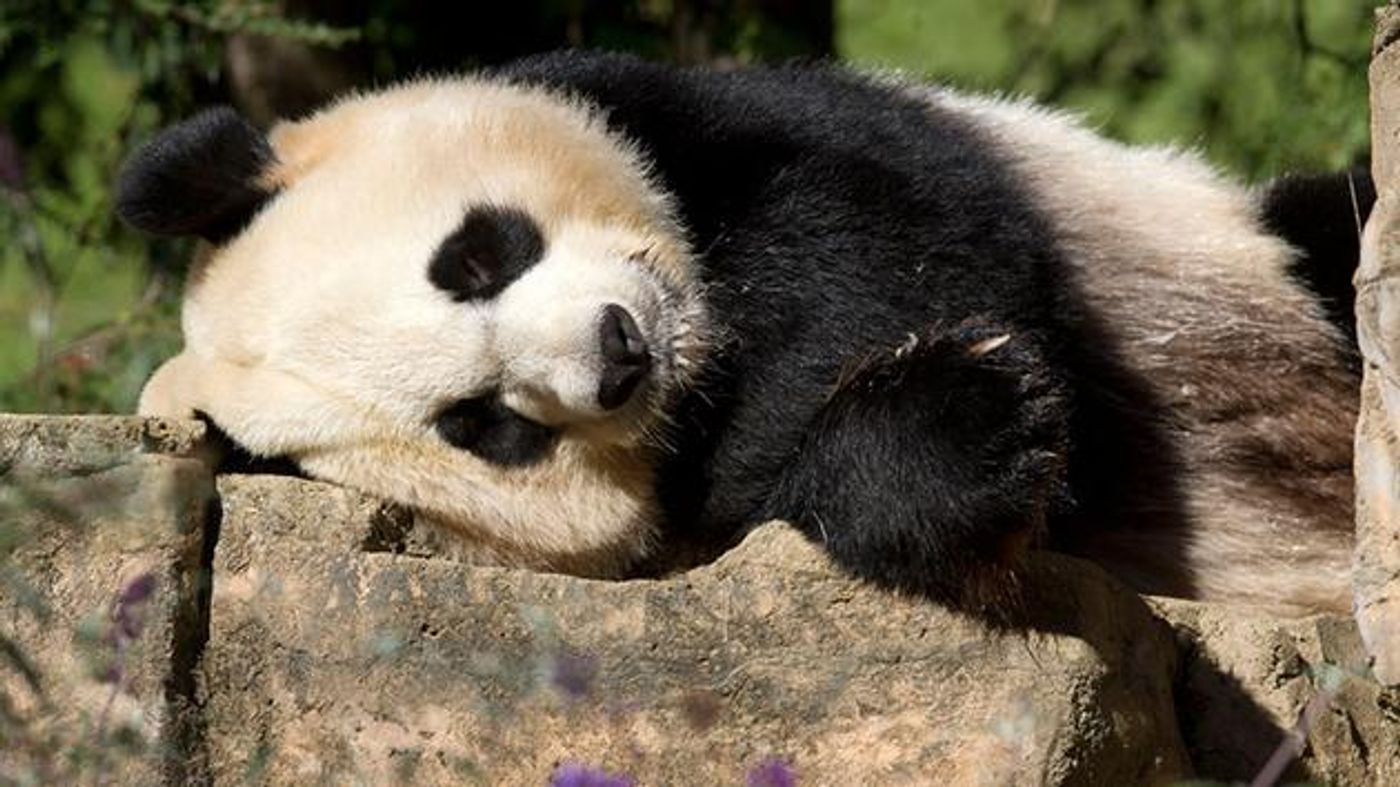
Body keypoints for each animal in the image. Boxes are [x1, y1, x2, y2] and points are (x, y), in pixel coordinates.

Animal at [114, 49, 1372, 616]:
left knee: (1336, 232)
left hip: (1250, 259)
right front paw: (962, 424)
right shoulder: (675, 539)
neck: (710, 349)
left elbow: (889, 216)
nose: (619, 351)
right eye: (483, 425)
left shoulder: (701, 108)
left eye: (477, 256)